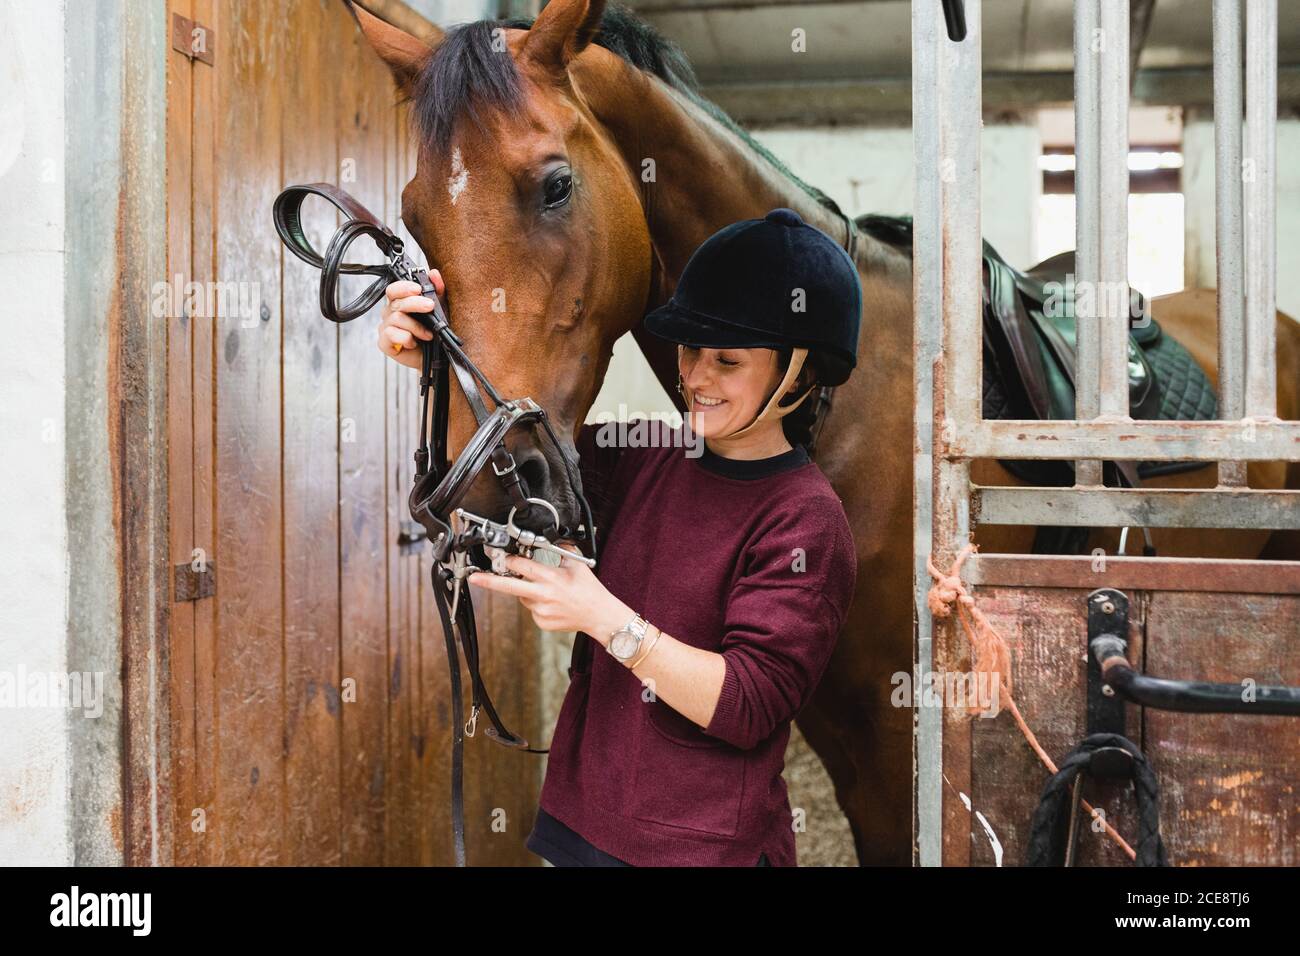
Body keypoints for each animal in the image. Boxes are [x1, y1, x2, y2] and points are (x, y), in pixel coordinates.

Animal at [349, 0, 1300, 865]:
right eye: (413, 218)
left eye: (554, 184)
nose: (491, 486)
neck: (843, 407)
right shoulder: (836, 726)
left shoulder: (893, 725)